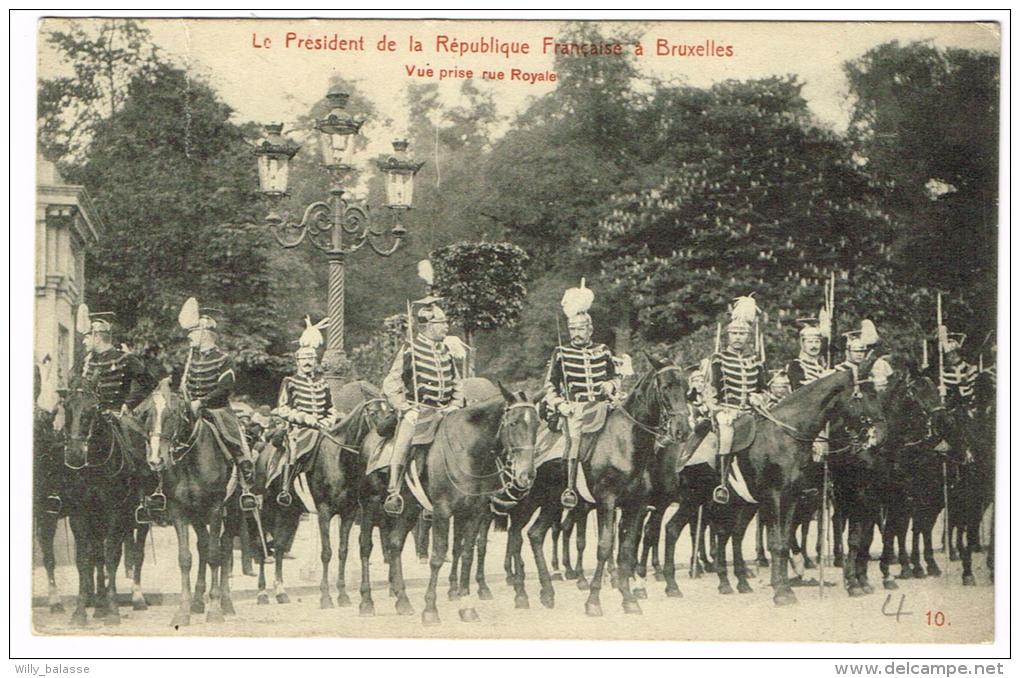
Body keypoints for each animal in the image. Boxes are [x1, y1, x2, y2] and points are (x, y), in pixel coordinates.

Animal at [60, 385, 148, 623]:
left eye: (93, 409)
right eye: (67, 408)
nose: (75, 453)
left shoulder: (114, 515)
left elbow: (112, 557)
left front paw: (113, 609)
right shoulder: (80, 516)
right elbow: (85, 559)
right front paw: (80, 611)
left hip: (140, 517)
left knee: (136, 553)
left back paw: (137, 597)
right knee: (98, 555)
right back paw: (98, 601)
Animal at [142, 383, 245, 628]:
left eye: (171, 414)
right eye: (148, 414)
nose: (156, 460)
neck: (191, 459)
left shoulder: (216, 509)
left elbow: (216, 555)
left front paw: (215, 610)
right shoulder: (179, 511)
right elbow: (185, 558)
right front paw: (183, 611)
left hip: (233, 512)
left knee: (224, 547)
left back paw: (226, 603)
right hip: (197, 516)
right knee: (203, 546)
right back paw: (198, 601)